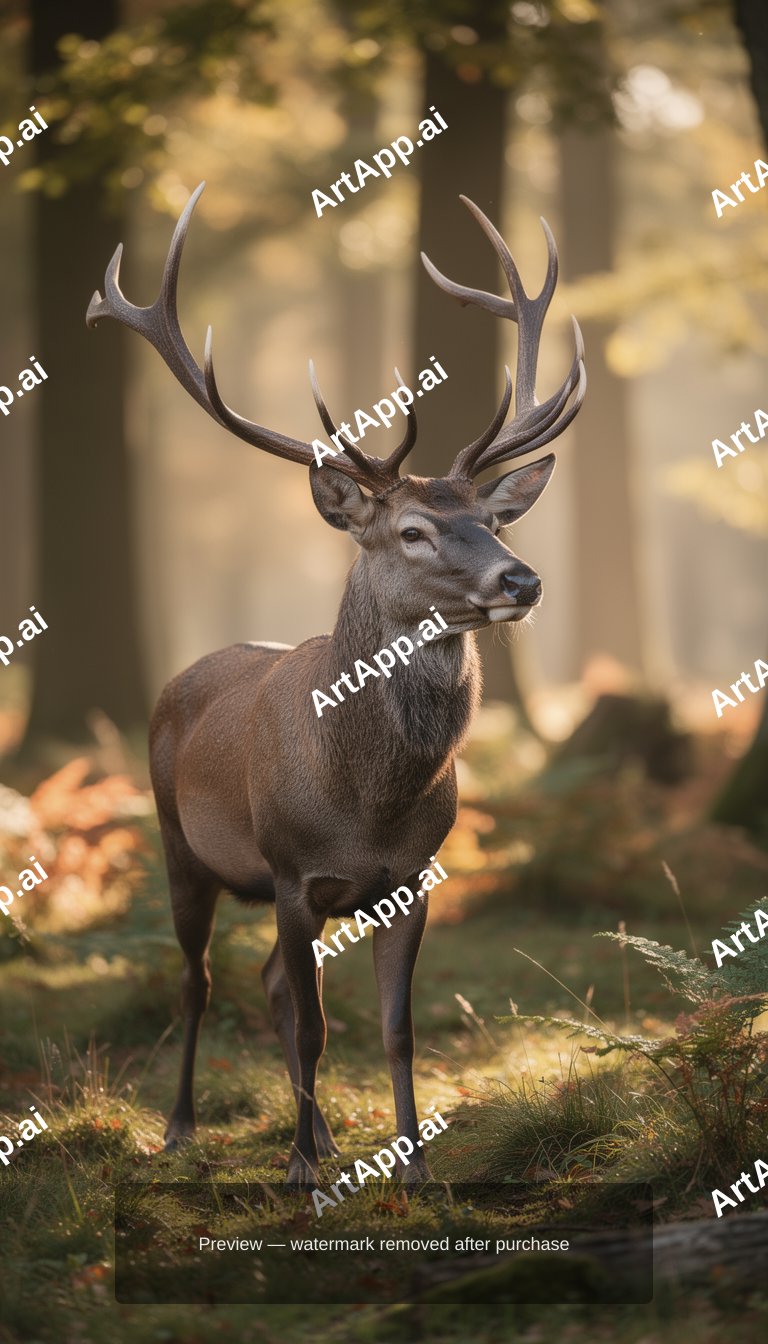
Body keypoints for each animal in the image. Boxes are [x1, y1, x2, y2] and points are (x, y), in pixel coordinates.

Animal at [87, 184, 585, 1186]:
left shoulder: (413, 878)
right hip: (178, 842)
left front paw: (413, 1166)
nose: (522, 580)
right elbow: (319, 1027)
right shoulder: (290, 871)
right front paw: (301, 1178)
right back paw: (186, 1129)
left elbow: (393, 1029)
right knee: (202, 981)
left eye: (492, 520)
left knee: (276, 985)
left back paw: (314, 1134)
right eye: (413, 533)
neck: (368, 805)